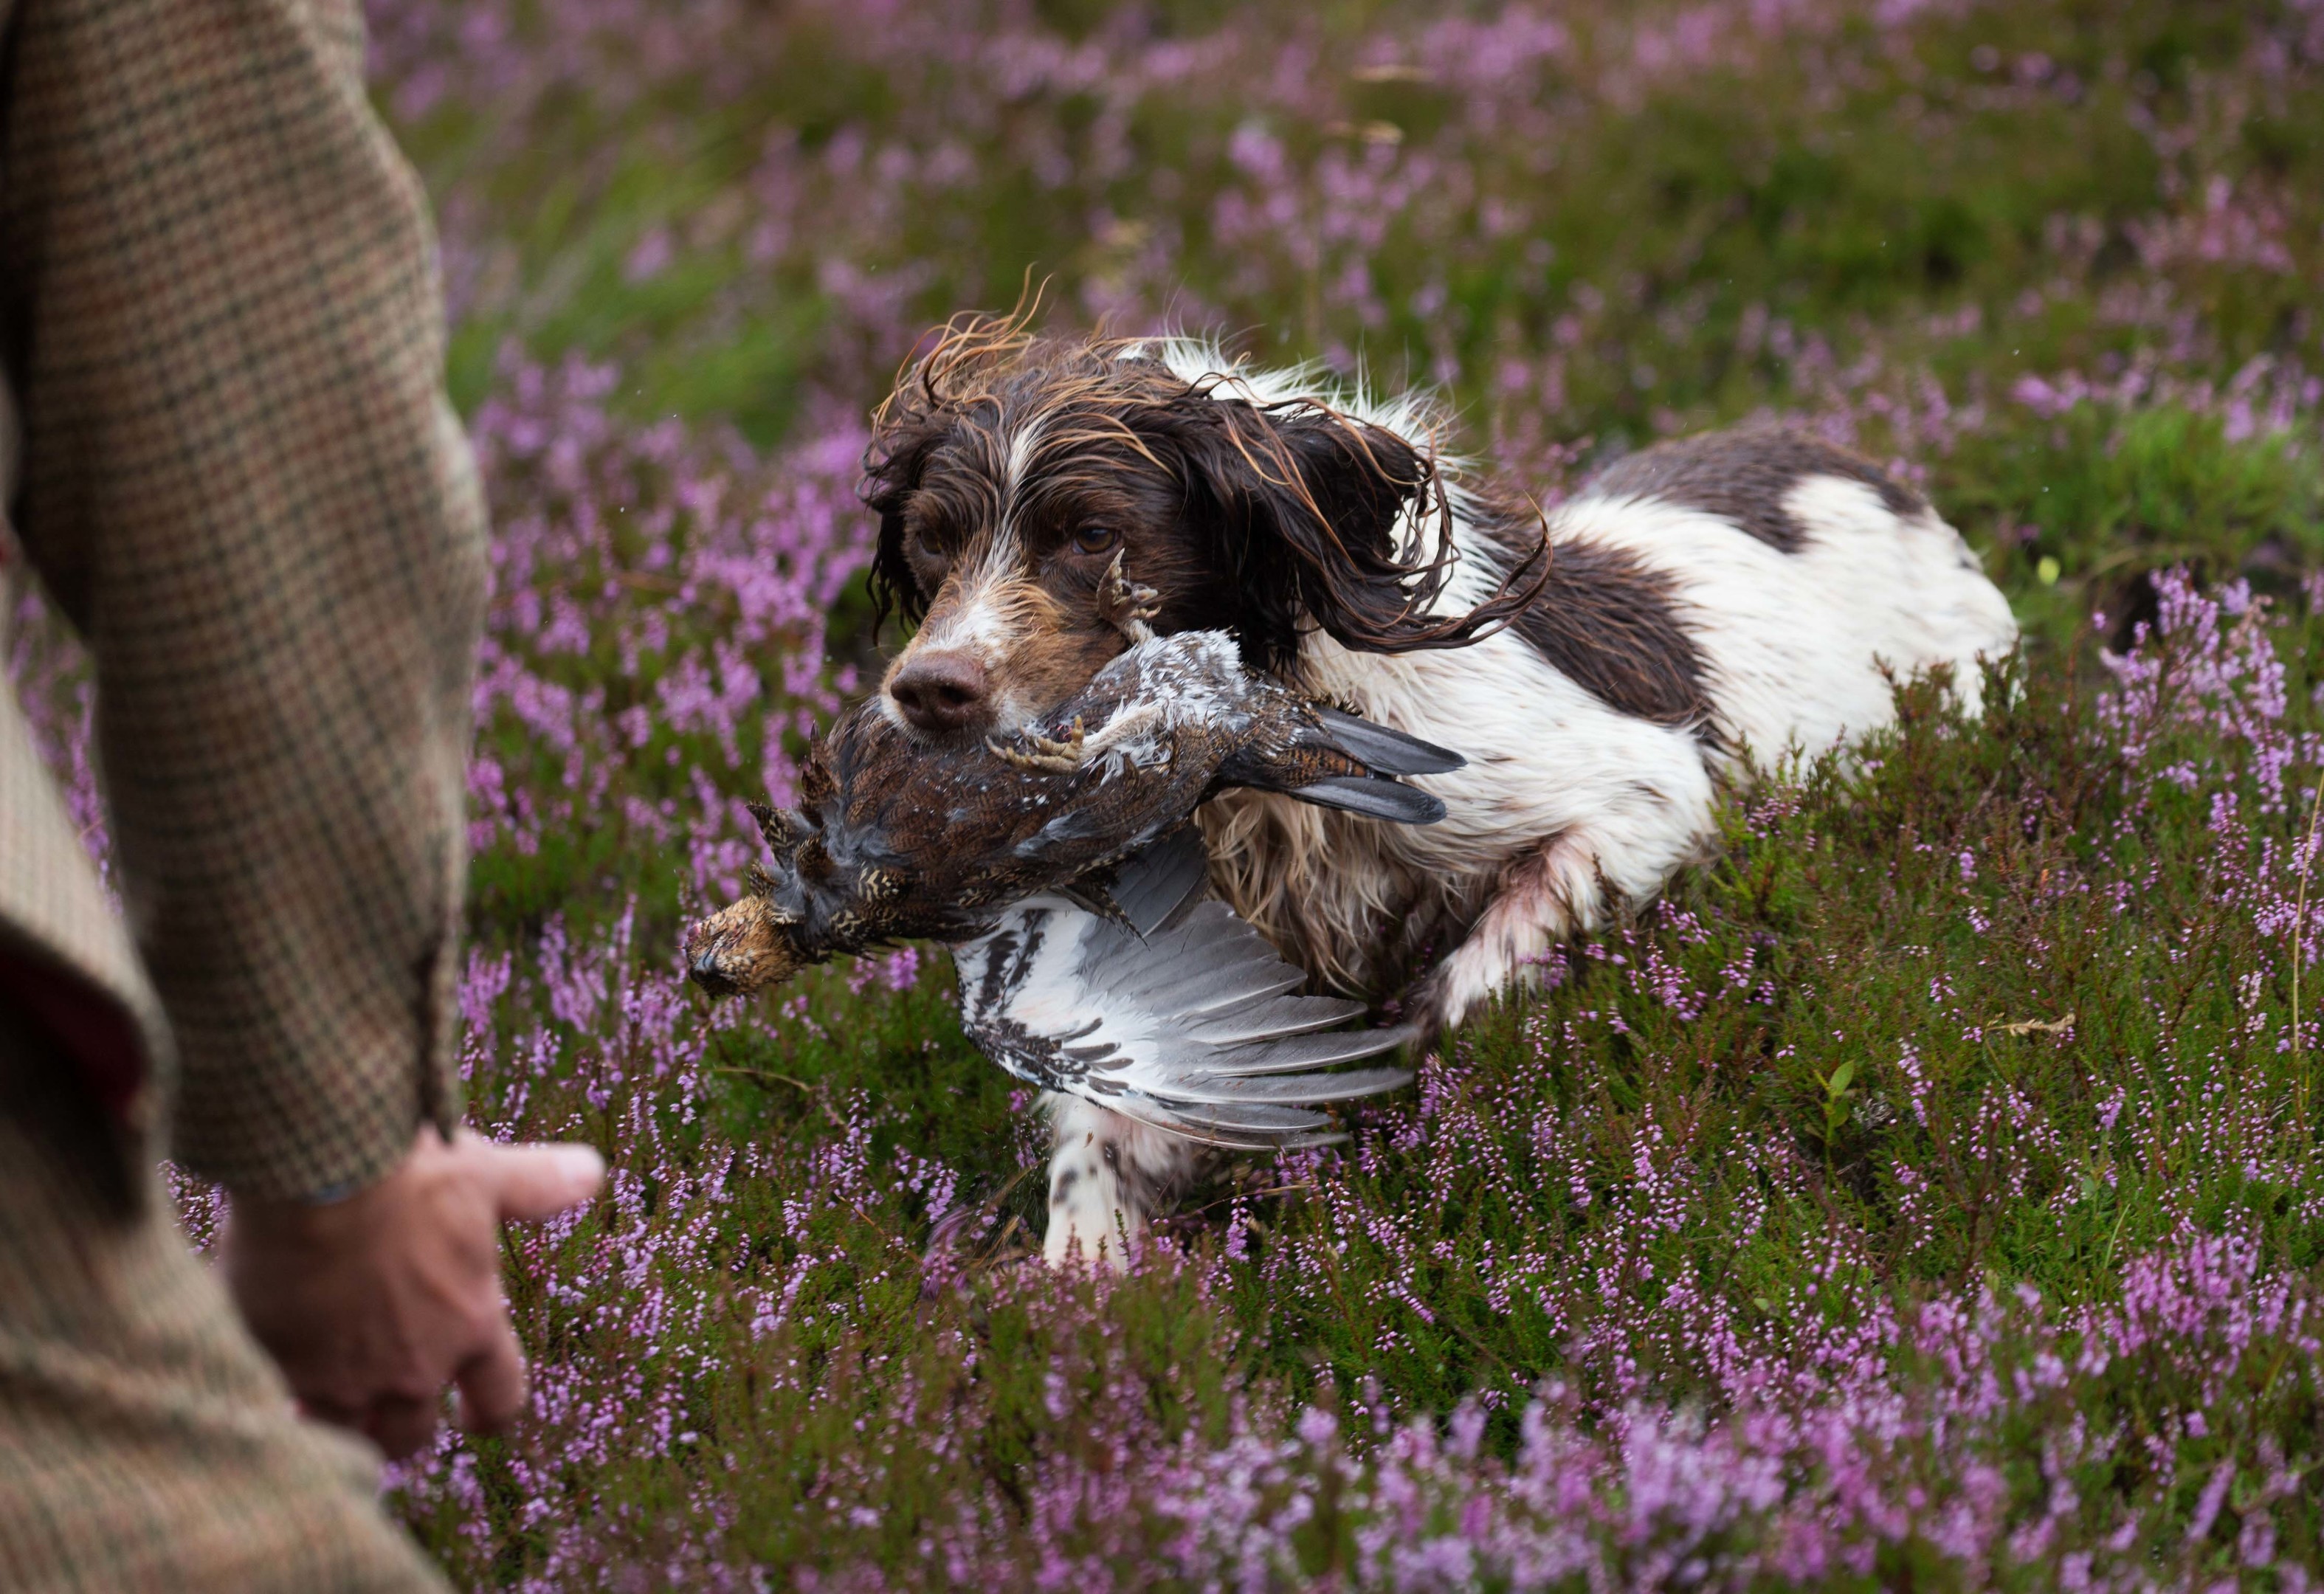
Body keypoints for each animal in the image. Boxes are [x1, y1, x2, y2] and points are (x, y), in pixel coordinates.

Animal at [860, 318, 2017, 1263]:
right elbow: (1101, 1132)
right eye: (931, 543)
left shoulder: (1638, 797)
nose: (926, 692)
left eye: (1093, 536)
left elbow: (1464, 984)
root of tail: (1865, 470)